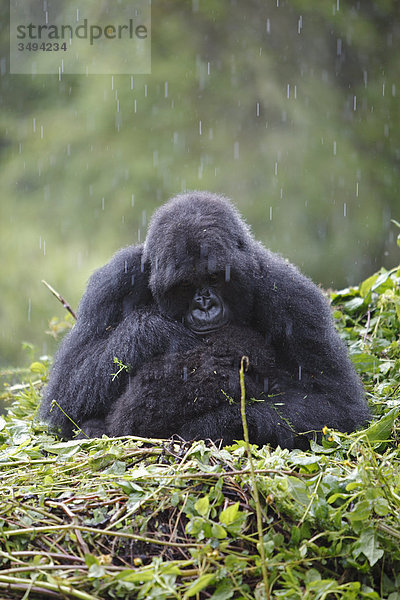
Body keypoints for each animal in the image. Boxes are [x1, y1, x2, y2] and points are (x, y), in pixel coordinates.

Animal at [39, 190, 370, 448]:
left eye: (214, 277)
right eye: (186, 285)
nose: (205, 304)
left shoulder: (292, 296)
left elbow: (337, 406)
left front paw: (210, 425)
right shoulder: (115, 281)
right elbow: (63, 397)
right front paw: (154, 330)